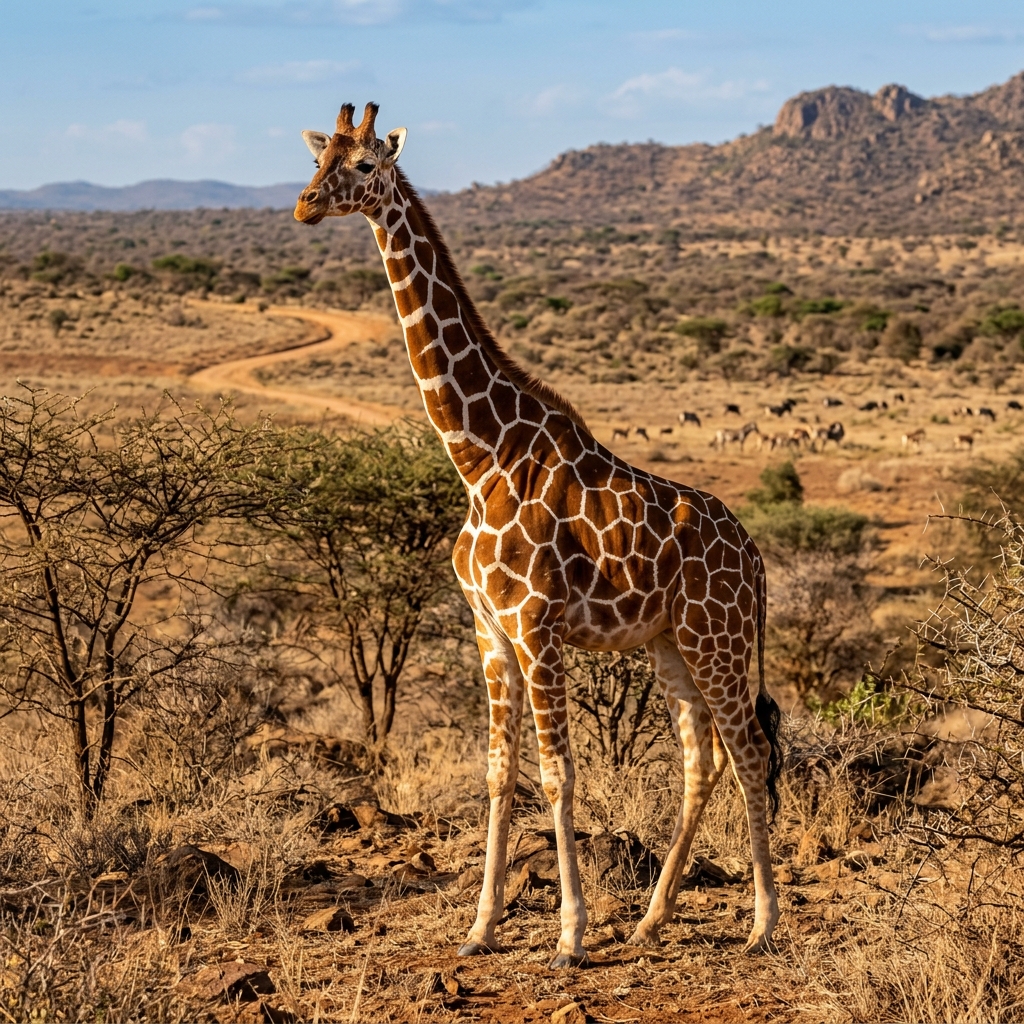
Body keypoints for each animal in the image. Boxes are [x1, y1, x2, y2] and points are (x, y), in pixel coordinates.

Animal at [294, 102, 784, 968]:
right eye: (321, 159)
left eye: (365, 166)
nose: (305, 204)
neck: (478, 456)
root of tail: (755, 557)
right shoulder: (489, 629)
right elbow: (498, 773)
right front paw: (480, 928)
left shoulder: (536, 625)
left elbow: (557, 774)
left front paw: (570, 934)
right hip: (670, 644)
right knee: (702, 761)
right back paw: (653, 919)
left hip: (717, 639)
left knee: (750, 752)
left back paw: (762, 924)